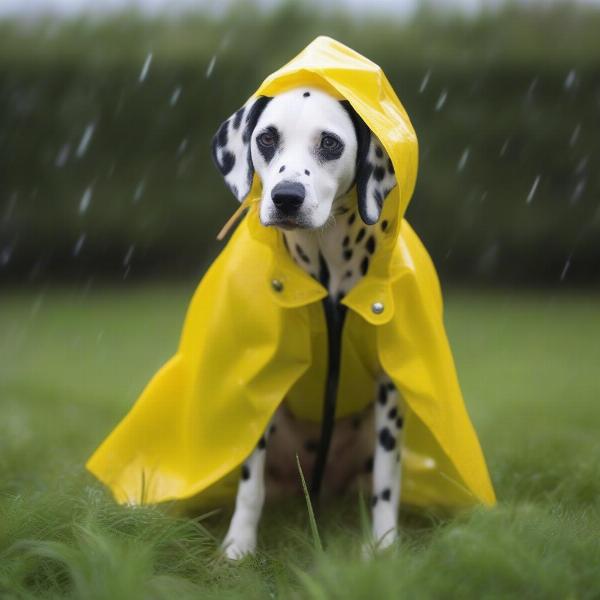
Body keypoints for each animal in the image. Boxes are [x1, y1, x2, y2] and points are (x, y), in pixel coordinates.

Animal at [212, 84, 404, 556]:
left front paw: (385, 546)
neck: (327, 274)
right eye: (266, 138)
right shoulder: (260, 385)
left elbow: (386, 482)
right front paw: (238, 547)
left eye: (330, 143)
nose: (286, 196)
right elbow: (251, 485)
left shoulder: (389, 391)